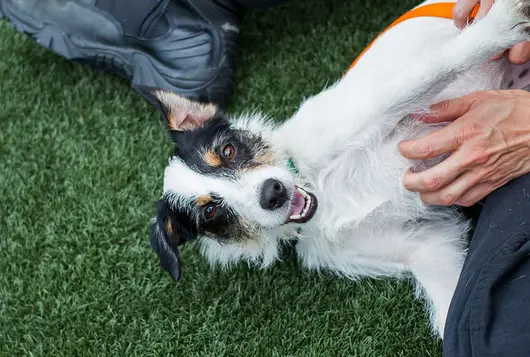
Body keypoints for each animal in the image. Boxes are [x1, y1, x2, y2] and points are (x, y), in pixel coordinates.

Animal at [138, 0, 528, 336]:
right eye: (210, 212)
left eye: (228, 150)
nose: (272, 193)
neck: (320, 186)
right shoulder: (429, 247)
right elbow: (457, 316)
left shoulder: (376, 104)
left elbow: (435, 69)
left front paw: (499, 26)